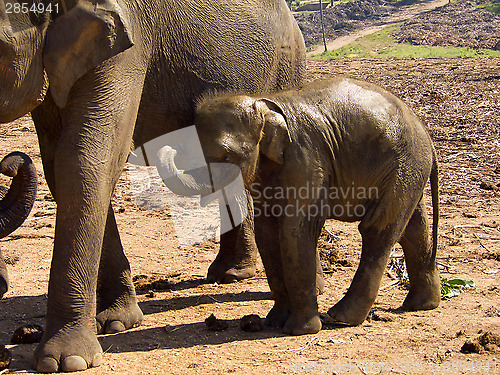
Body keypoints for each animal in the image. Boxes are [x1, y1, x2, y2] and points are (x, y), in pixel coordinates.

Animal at [0, 0, 306, 374]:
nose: (10, 162)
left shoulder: (125, 40)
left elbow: (86, 157)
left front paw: (66, 361)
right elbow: (59, 162)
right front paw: (117, 323)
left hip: (287, 65)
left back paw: (236, 276)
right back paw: (230, 273)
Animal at [193, 78, 440, 336]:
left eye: (226, 156)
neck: (264, 105)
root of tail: (426, 133)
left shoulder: (306, 158)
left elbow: (296, 230)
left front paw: (299, 330)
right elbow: (267, 233)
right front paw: (274, 321)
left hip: (404, 166)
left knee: (378, 229)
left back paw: (342, 317)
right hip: (409, 172)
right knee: (413, 230)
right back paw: (422, 305)